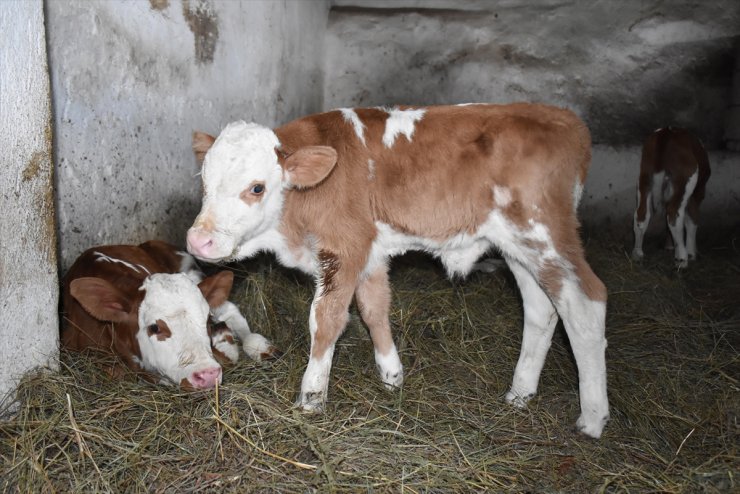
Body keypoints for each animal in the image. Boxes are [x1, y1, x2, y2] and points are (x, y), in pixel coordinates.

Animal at [188, 103, 608, 436]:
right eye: (204, 183)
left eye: (257, 188)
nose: (198, 241)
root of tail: (565, 119)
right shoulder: (371, 252)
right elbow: (374, 308)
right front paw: (392, 376)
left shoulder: (347, 247)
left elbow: (326, 319)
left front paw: (311, 396)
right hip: (519, 248)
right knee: (541, 309)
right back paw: (519, 394)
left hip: (547, 235)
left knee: (585, 304)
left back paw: (592, 418)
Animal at [632, 127, 712, 266]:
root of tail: (666, 132)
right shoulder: (696, 192)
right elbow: (692, 218)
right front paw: (692, 253)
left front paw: (669, 246)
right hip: (685, 179)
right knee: (674, 214)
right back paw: (682, 258)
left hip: (644, 177)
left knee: (642, 214)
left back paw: (637, 254)